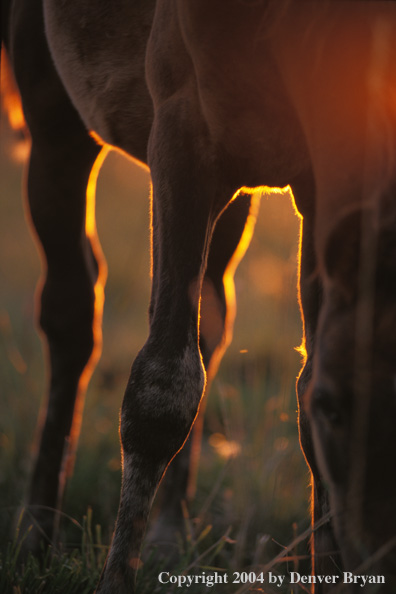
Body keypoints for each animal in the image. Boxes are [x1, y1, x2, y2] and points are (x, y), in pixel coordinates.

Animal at [3, 1, 396, 592]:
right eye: (335, 407)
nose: (381, 563)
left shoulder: (311, 181)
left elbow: (296, 387)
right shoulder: (182, 134)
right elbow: (161, 389)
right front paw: (116, 577)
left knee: (211, 319)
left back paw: (168, 536)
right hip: (54, 115)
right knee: (70, 314)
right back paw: (35, 536)